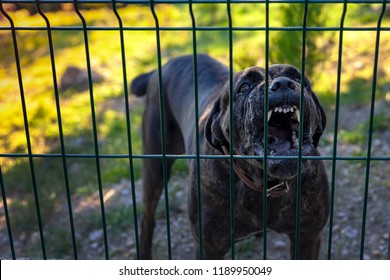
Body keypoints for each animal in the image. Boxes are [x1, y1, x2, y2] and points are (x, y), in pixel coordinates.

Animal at [131, 53, 330, 260]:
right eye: (244, 87)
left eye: (299, 79)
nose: (283, 83)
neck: (263, 183)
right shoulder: (209, 248)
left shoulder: (307, 237)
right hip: (155, 167)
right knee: (148, 218)